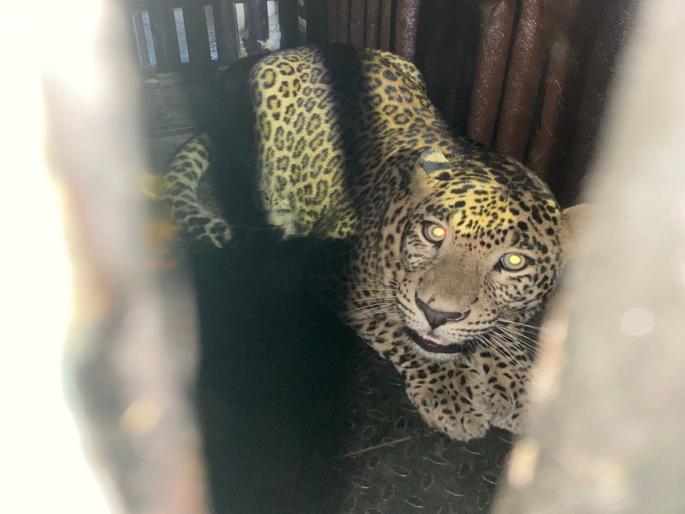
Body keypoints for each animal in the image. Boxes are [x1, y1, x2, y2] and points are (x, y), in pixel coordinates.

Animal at [163, 44, 585, 440]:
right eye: (434, 233)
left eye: (513, 262)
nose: (437, 315)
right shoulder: (329, 276)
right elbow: (400, 331)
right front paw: (449, 393)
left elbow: (502, 331)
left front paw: (517, 386)